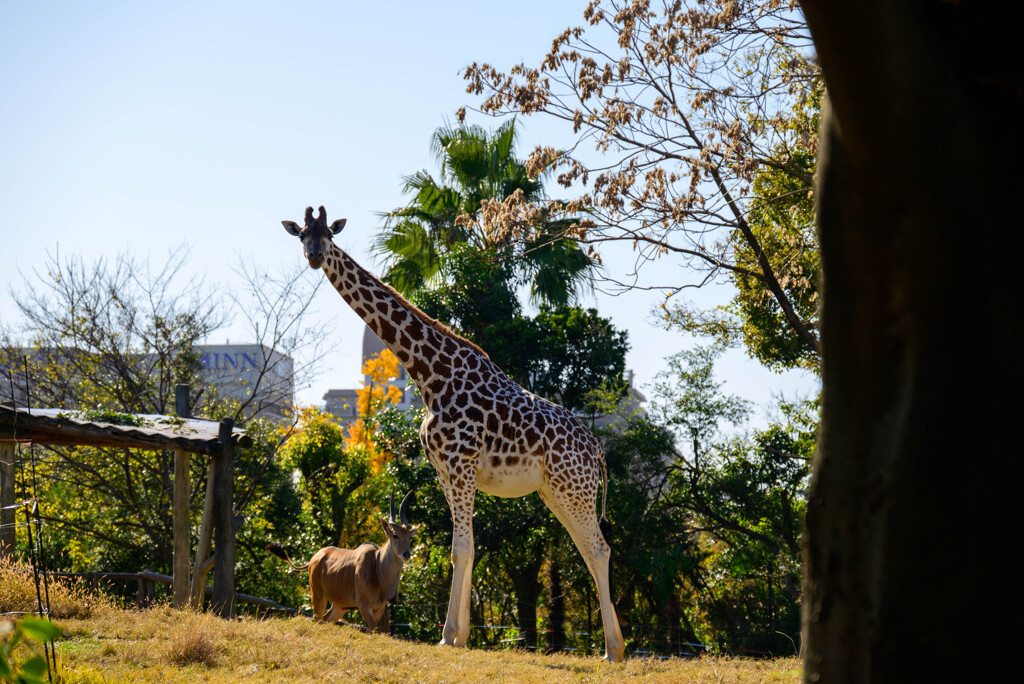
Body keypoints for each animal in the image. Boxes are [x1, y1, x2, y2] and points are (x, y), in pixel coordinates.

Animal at [284, 205, 626, 659]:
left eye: (329, 235)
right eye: (302, 234)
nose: (315, 255)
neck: (430, 375)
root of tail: (597, 451)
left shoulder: (461, 464)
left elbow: (459, 547)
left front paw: (448, 634)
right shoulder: (445, 470)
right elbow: (468, 546)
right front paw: (461, 635)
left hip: (574, 489)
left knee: (599, 548)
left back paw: (612, 650)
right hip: (555, 492)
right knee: (590, 548)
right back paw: (613, 646)